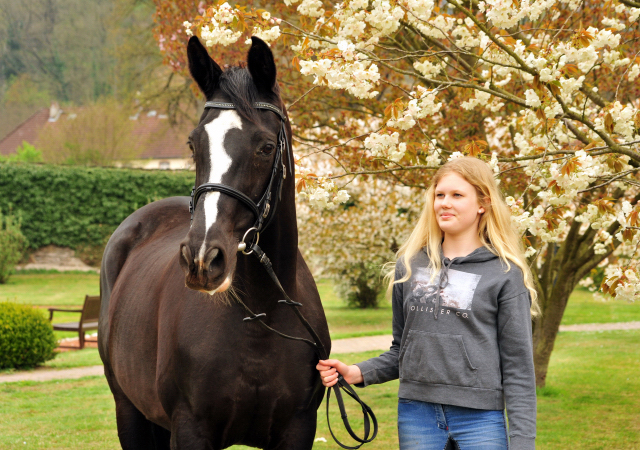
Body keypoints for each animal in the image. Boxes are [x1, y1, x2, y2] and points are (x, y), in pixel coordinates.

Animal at [101, 36, 330, 450]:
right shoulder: (190, 429)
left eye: (266, 147)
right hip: (129, 412)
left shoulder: (298, 429)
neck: (261, 316)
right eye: (193, 144)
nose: (203, 259)